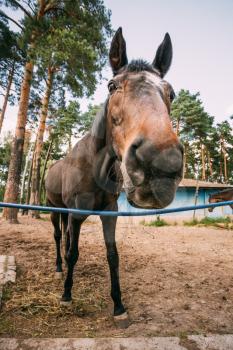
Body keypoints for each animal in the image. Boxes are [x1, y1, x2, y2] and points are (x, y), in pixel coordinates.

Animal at [45, 27, 184, 326]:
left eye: (171, 93)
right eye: (112, 86)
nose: (161, 163)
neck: (96, 167)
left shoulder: (109, 214)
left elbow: (113, 256)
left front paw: (119, 305)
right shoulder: (76, 214)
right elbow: (73, 252)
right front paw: (67, 295)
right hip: (53, 209)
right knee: (59, 238)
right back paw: (59, 268)